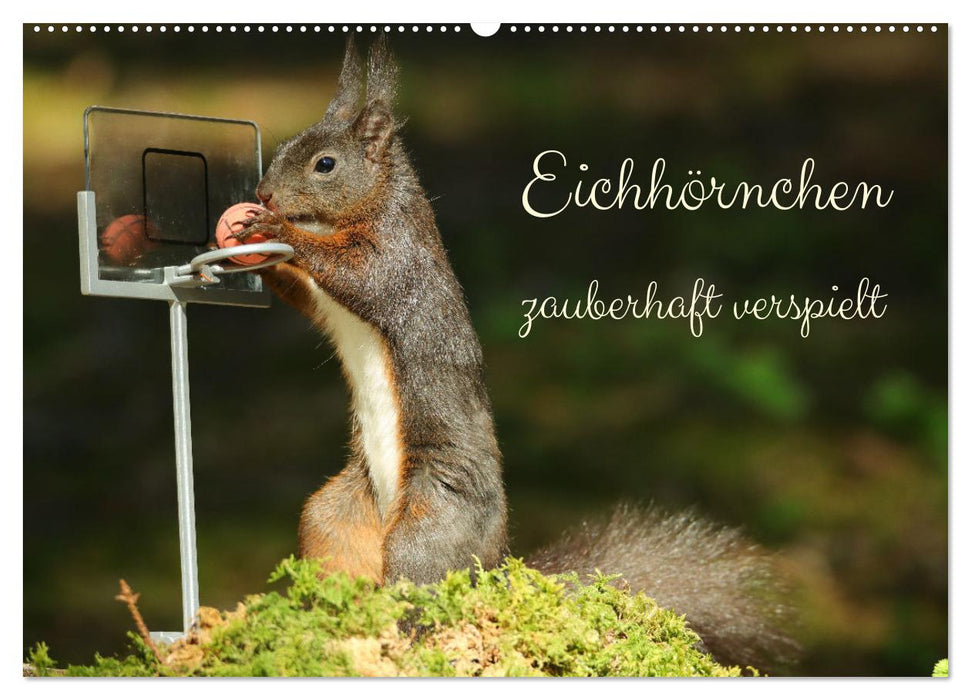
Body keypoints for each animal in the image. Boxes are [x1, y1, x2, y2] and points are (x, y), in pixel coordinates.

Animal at [235, 36, 797, 669]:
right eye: (285, 147)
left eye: (325, 164)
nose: (263, 194)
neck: (374, 202)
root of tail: (496, 568)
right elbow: (309, 294)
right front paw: (246, 246)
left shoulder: (398, 258)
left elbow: (361, 275)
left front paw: (277, 228)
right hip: (336, 515)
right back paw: (325, 622)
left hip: (431, 524)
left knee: (421, 589)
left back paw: (400, 640)